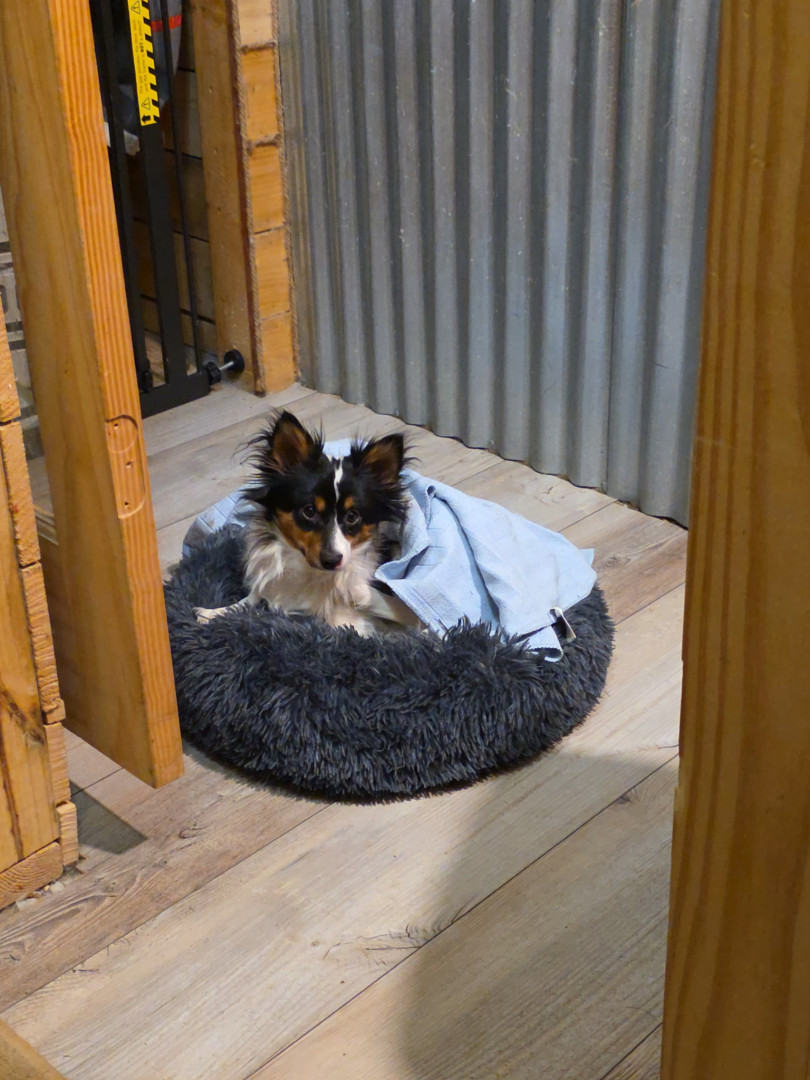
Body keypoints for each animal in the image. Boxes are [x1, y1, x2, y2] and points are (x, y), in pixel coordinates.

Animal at [194, 411, 420, 635]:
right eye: (309, 511)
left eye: (352, 516)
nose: (332, 560)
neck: (309, 572)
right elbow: (250, 599)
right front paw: (213, 613)